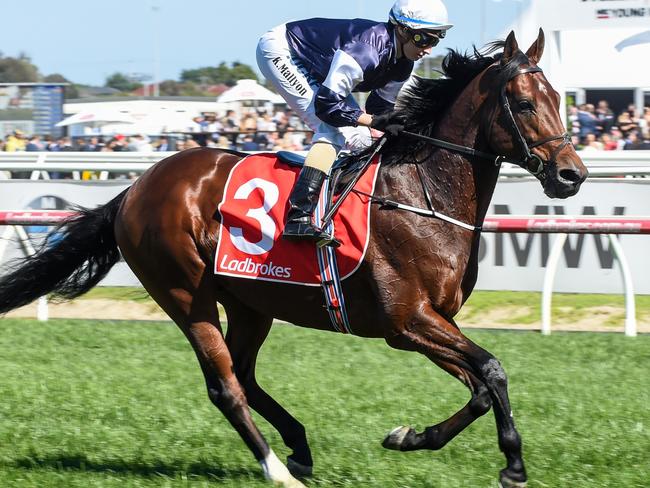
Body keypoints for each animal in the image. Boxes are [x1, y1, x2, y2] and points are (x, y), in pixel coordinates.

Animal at [0, 31, 588, 488]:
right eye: (526, 104)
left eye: (560, 99)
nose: (572, 175)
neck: (422, 191)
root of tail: (135, 188)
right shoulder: (406, 321)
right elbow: (492, 369)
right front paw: (512, 464)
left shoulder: (431, 321)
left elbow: (482, 388)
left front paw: (410, 437)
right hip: (185, 293)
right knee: (225, 386)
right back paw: (276, 468)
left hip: (249, 302)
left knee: (243, 373)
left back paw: (299, 447)